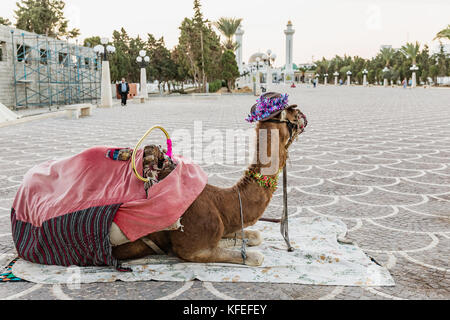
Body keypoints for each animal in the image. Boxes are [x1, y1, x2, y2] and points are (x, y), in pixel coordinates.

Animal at [111, 94, 306, 266]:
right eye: (293, 113)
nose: (304, 117)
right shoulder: (193, 250)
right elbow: (256, 257)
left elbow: (256, 236)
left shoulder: (226, 226)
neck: (221, 202)